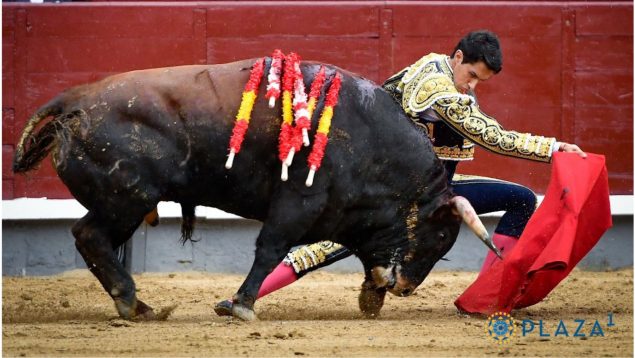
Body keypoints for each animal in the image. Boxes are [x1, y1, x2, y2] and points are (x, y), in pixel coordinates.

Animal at [11, 58, 496, 322]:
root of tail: (73, 100)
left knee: (92, 241)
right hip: (125, 200)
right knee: (89, 237)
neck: (372, 141)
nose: (407, 289)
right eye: (440, 236)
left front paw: (371, 298)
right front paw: (241, 305)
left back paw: (139, 305)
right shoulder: (297, 204)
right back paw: (132, 302)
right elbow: (269, 250)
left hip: (125, 205)